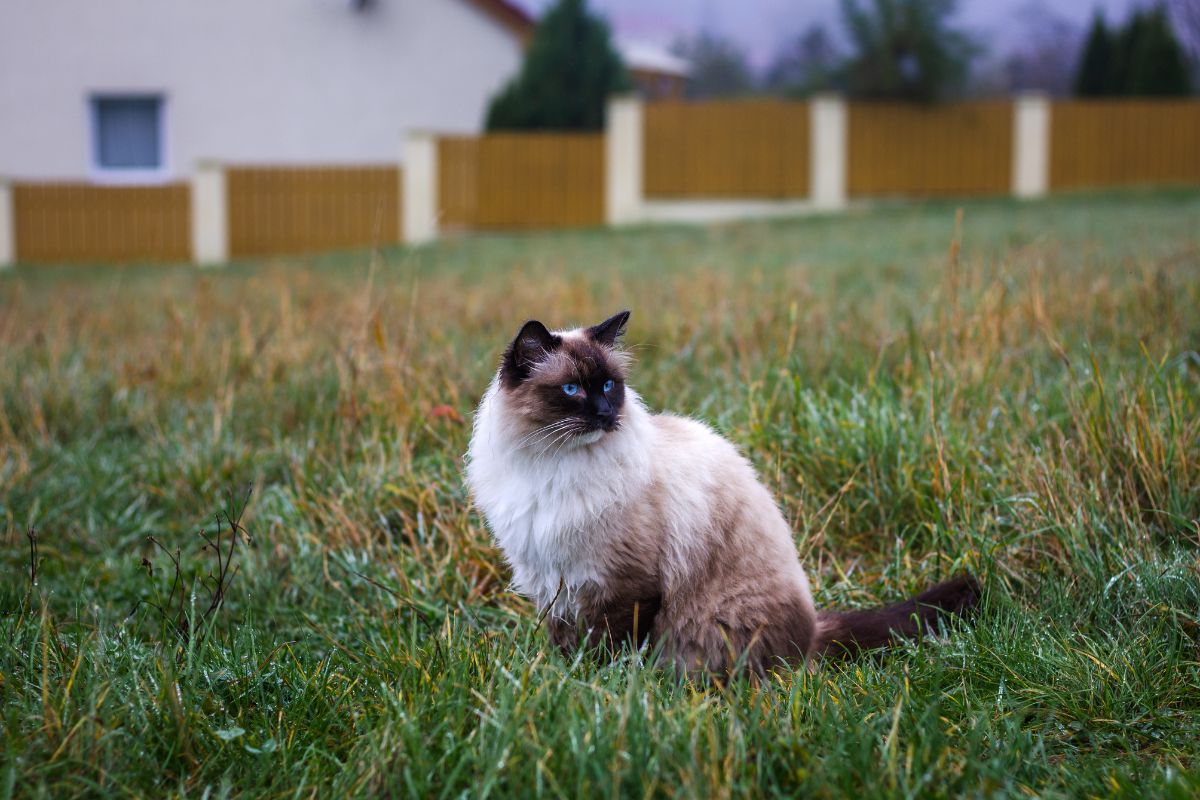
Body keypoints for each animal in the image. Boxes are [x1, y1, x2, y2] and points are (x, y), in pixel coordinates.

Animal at [463, 311, 979, 676]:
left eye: (608, 385)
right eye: (572, 389)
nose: (607, 415)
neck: (554, 467)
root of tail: (811, 631)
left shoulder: (621, 587)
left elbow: (610, 653)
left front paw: (598, 689)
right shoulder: (553, 582)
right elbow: (564, 645)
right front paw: (563, 680)